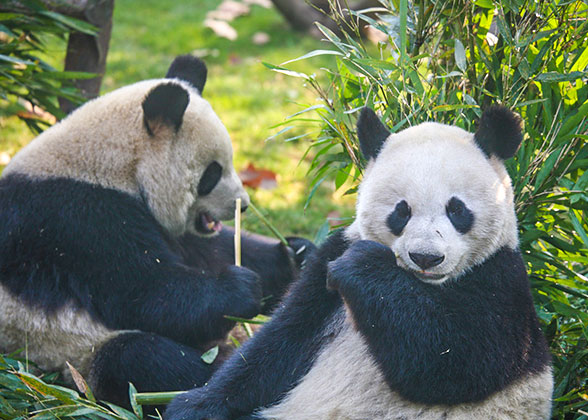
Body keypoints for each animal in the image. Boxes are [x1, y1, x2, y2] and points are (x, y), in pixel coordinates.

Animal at [0, 54, 312, 408]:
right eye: (212, 173)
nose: (243, 205)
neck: (110, 162)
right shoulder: (76, 218)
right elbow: (144, 292)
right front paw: (242, 288)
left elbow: (212, 251)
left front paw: (296, 255)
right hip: (67, 350)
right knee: (141, 361)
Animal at [167, 105, 556, 420]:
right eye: (402, 211)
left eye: (457, 209)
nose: (426, 257)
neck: (419, 288)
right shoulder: (327, 266)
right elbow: (280, 343)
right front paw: (193, 405)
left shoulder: (500, 278)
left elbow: (456, 361)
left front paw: (363, 266)